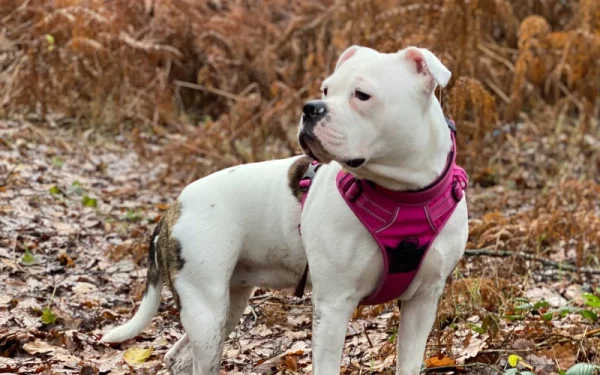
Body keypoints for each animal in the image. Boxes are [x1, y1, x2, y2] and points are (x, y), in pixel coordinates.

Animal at [102, 44, 468, 375]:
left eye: (362, 95)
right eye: (326, 89)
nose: (310, 107)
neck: (402, 194)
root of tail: (174, 207)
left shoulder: (422, 301)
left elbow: (410, 361)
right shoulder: (333, 305)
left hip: (228, 303)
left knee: (179, 357)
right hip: (205, 307)